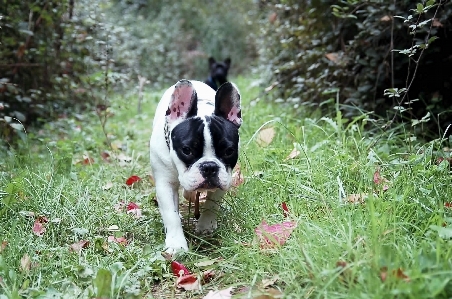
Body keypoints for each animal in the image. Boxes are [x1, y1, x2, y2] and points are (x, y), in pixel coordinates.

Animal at [149, 79, 242, 253]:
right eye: (187, 150)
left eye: (229, 151)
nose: (209, 166)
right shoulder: (165, 184)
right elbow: (171, 215)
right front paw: (176, 244)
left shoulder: (225, 179)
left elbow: (212, 205)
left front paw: (206, 226)